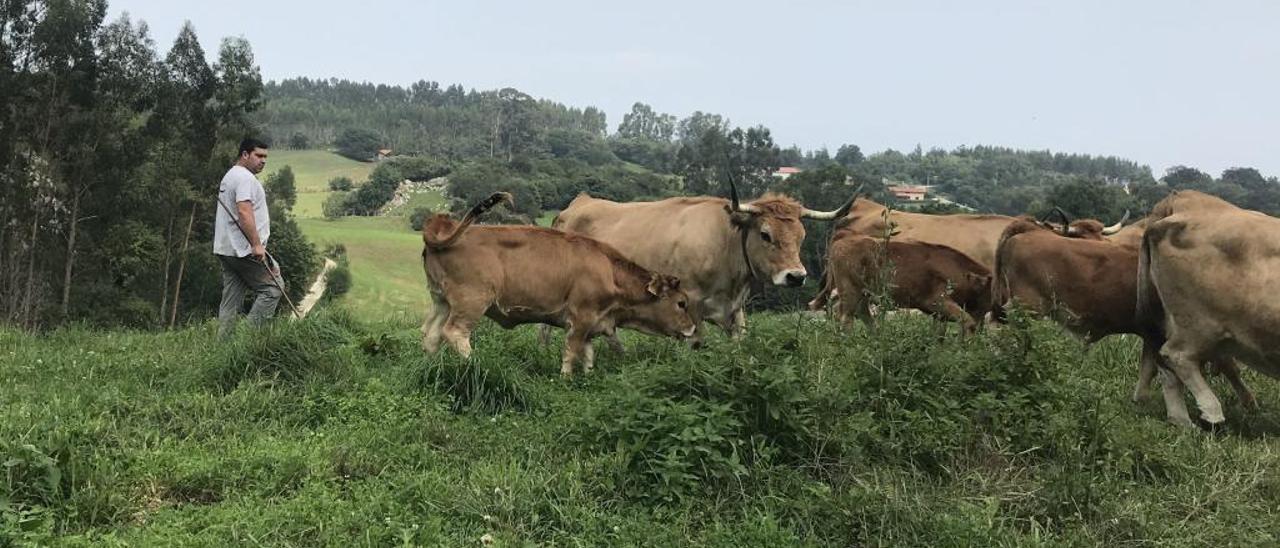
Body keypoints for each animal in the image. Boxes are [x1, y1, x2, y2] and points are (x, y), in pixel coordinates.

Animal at [552, 180, 860, 345]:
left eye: (801, 236)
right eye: (765, 234)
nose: (795, 276)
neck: (725, 243)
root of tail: (580, 203)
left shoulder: (735, 310)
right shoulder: (692, 306)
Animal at [1136, 190, 1274, 425]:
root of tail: (1183, 198)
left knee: (1167, 368)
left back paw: (1181, 420)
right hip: (1198, 325)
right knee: (1176, 356)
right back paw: (1212, 413)